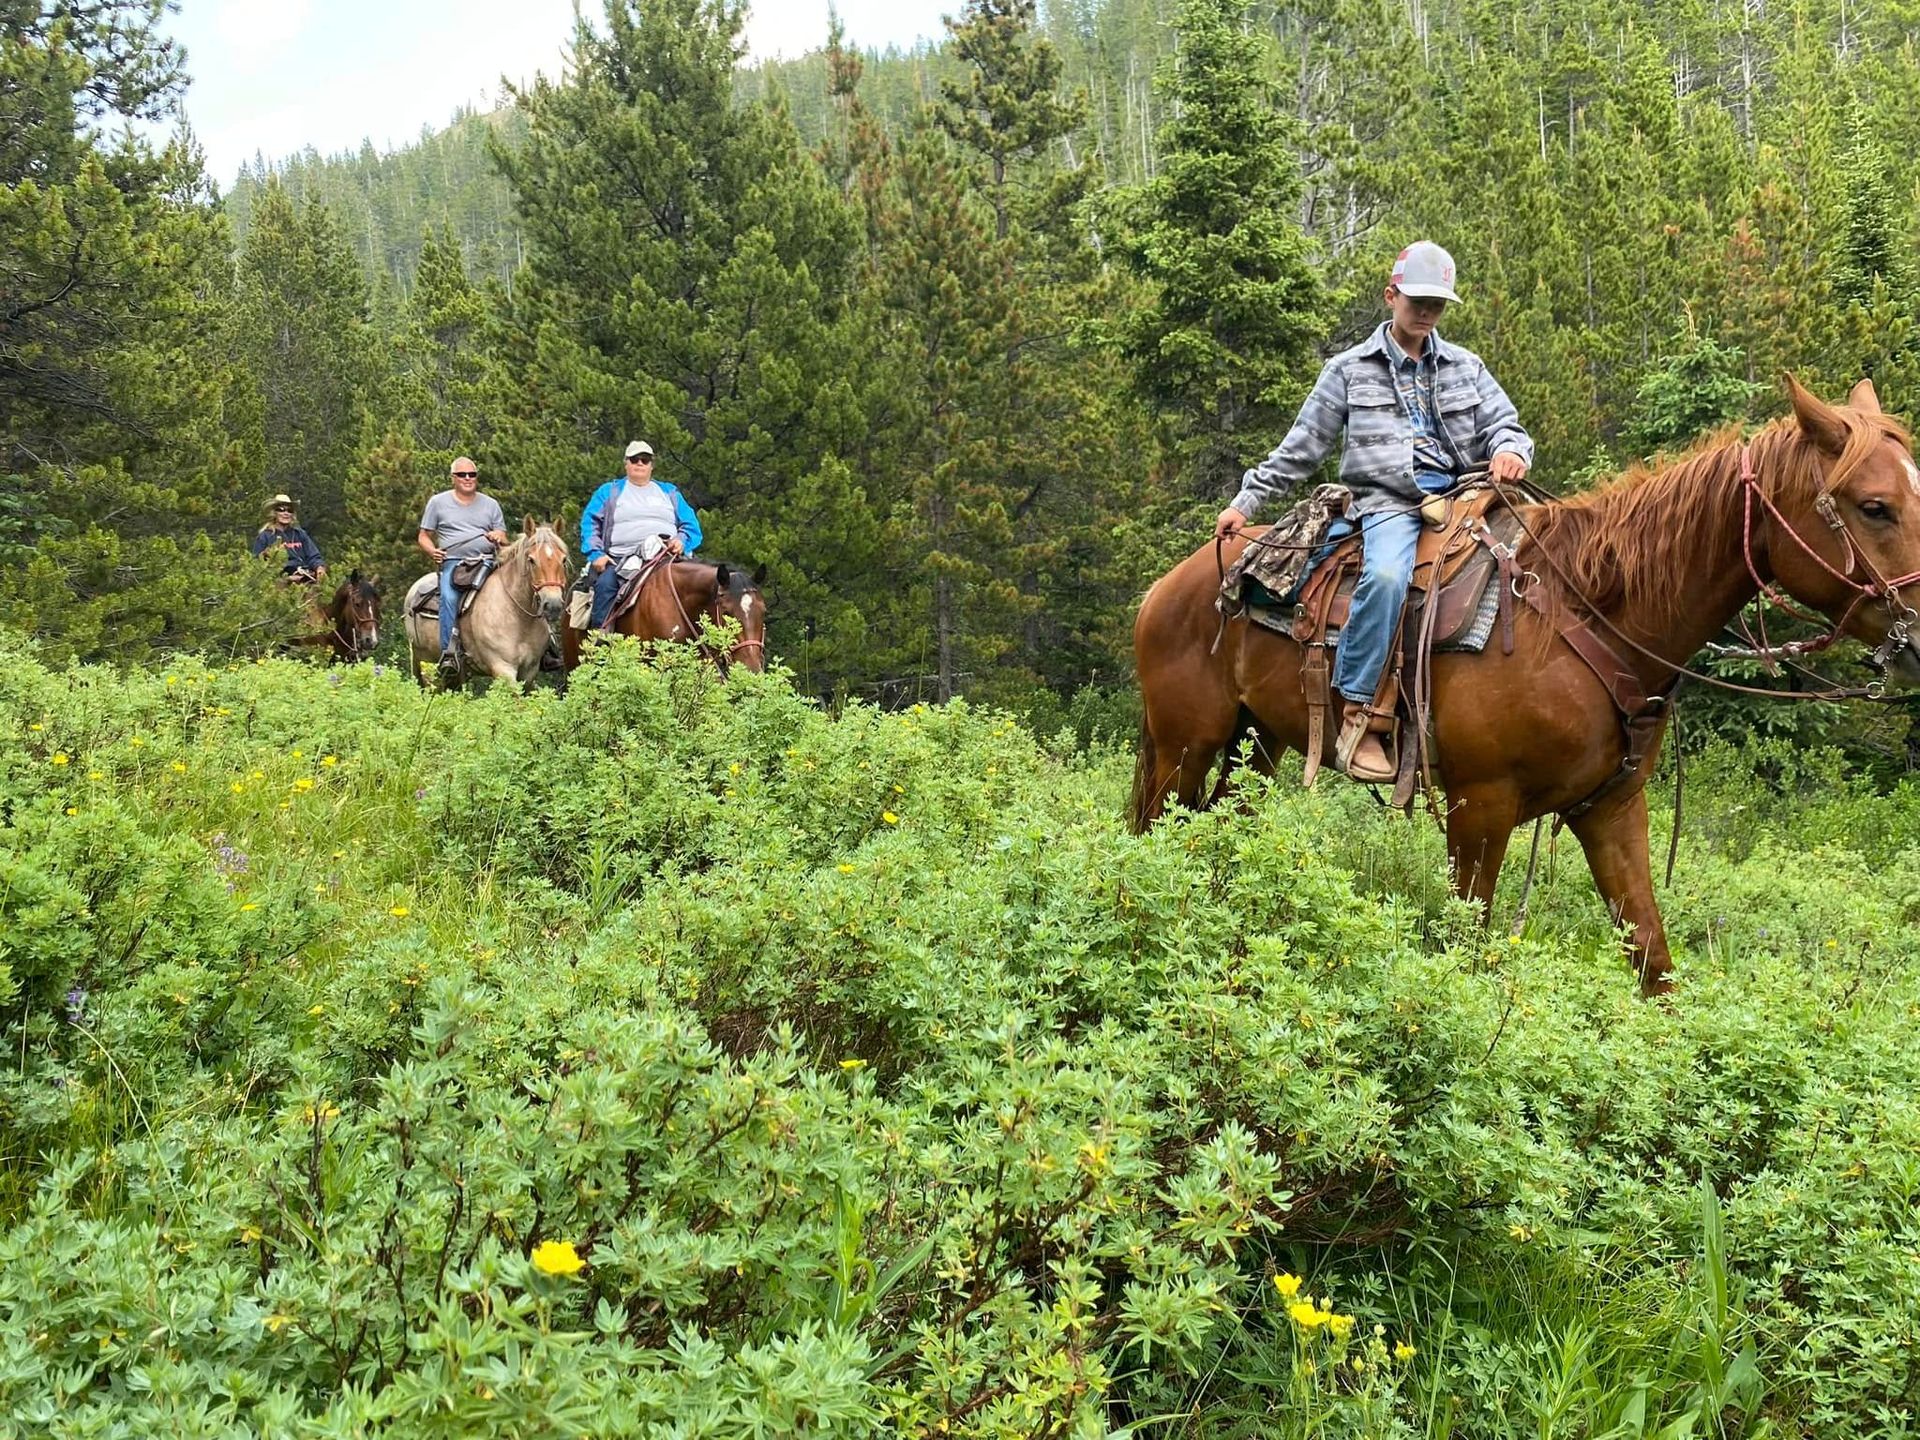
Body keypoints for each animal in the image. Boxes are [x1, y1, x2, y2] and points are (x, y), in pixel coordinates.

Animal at [402, 520, 571, 687]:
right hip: (422, 665)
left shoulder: (529, 672)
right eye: (531, 560)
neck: (519, 618)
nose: (553, 604)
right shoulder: (503, 669)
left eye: (563, 559)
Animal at [1129, 377, 1920, 995]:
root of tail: (1170, 584)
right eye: (1874, 505)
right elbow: (1468, 949)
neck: (1586, 617)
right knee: (1154, 835)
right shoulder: (1481, 809)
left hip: (1257, 749)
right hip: (1185, 745)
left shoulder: (1610, 809)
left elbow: (1652, 959)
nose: (1918, 639)